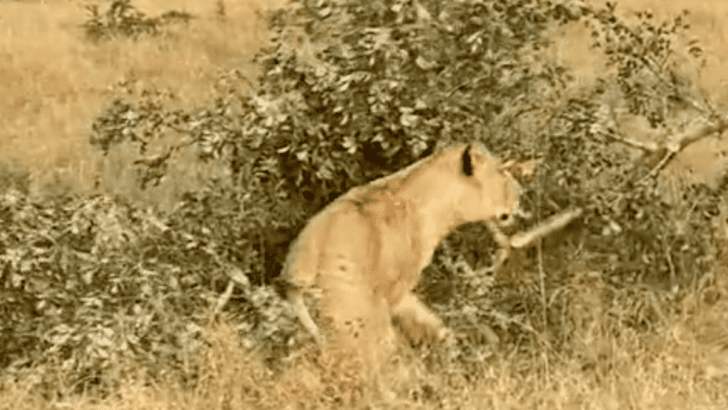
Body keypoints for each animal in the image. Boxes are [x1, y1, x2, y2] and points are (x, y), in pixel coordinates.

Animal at [283, 142, 520, 370]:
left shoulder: (399, 293)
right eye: (500, 171)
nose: (520, 193)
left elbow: (430, 321)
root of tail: (297, 277)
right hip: (358, 324)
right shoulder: (393, 290)